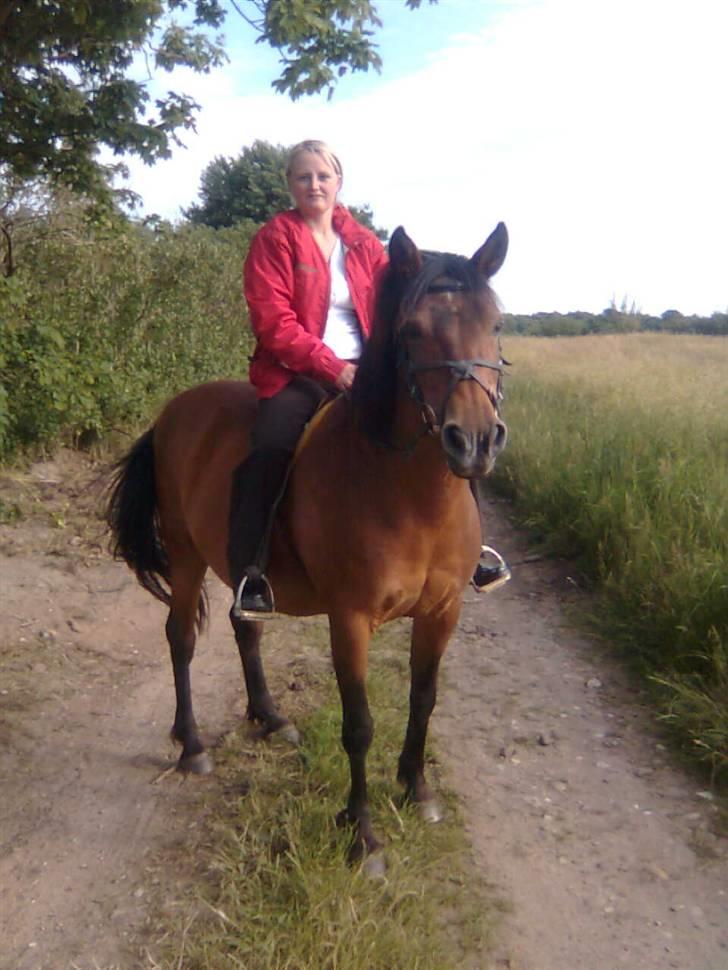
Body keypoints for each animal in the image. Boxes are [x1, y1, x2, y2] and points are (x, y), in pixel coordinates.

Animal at [106, 223, 509, 868]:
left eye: (495, 322)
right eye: (412, 331)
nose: (473, 442)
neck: (408, 493)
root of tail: (172, 411)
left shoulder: (443, 611)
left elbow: (424, 698)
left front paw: (417, 789)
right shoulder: (350, 618)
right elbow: (359, 723)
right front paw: (362, 835)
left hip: (239, 564)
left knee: (245, 625)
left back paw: (269, 717)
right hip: (188, 557)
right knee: (181, 637)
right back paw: (191, 745)